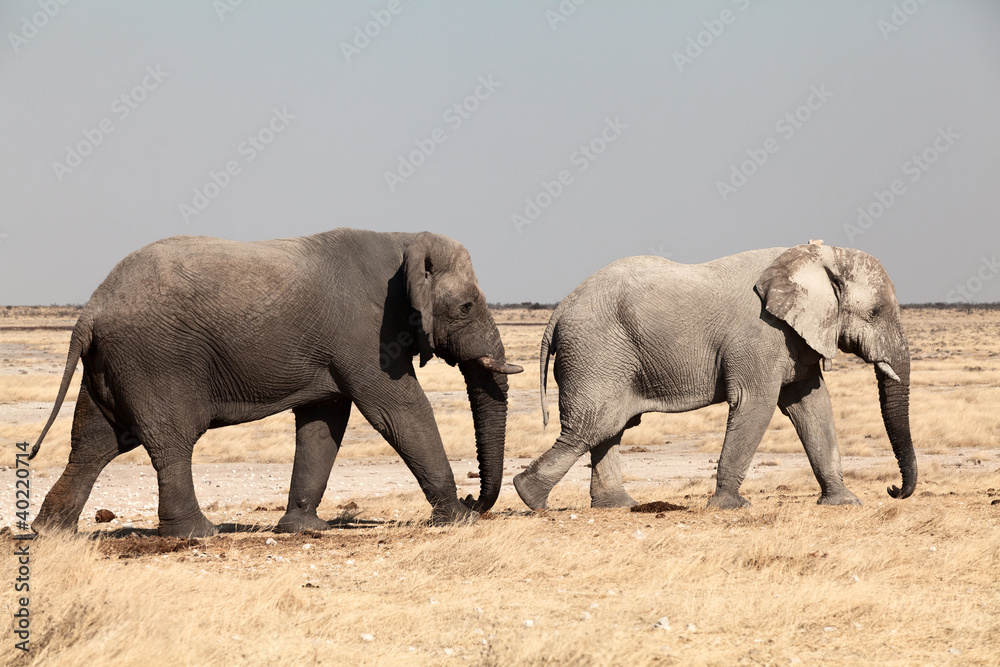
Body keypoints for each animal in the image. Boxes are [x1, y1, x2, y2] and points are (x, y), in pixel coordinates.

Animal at [29, 230, 524, 536]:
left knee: (93, 442)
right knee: (168, 441)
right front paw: (458, 521)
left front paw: (304, 529)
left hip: (111, 364)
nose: (474, 497)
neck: (401, 240)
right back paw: (197, 534)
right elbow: (398, 410)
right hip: (154, 359)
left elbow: (325, 421)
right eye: (466, 307)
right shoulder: (367, 332)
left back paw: (50, 532)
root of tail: (91, 308)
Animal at [516, 245, 916, 512]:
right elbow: (756, 405)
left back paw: (618, 506)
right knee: (593, 425)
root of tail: (559, 310)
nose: (894, 490)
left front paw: (845, 503)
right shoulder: (760, 337)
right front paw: (730, 507)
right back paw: (529, 496)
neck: (816, 258)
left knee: (609, 427)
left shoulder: (795, 338)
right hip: (596, 352)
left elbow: (813, 408)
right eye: (875, 312)